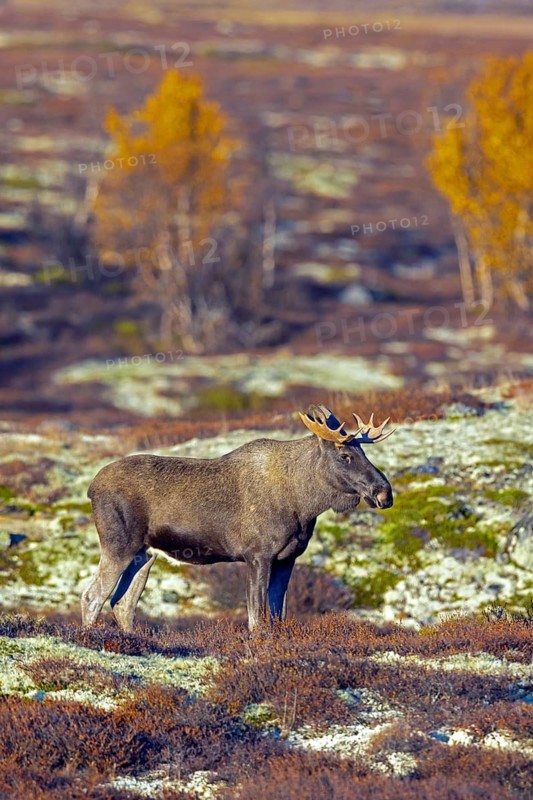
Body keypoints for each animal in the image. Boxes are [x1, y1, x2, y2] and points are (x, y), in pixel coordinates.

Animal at [81, 404, 394, 632]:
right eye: (344, 456)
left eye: (363, 451)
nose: (384, 493)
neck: (304, 504)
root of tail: (91, 488)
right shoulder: (257, 555)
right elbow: (257, 619)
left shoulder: (287, 558)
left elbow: (277, 615)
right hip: (119, 546)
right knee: (93, 595)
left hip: (145, 554)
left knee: (123, 603)